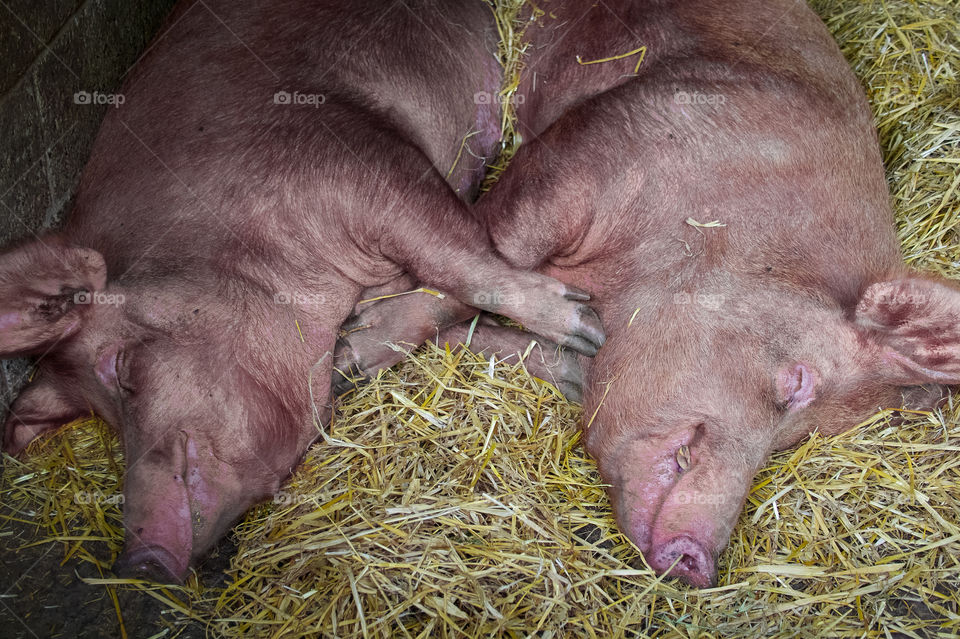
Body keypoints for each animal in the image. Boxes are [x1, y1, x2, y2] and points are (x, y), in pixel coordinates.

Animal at [0, 0, 605, 584]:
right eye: (98, 418)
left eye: (122, 370)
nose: (136, 564)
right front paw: (349, 360)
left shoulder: (360, 163)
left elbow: (463, 259)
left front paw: (587, 327)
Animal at [332, 0, 960, 587]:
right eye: (797, 385)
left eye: (791, 444)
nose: (699, 560)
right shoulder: (585, 154)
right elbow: (481, 257)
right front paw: (349, 354)